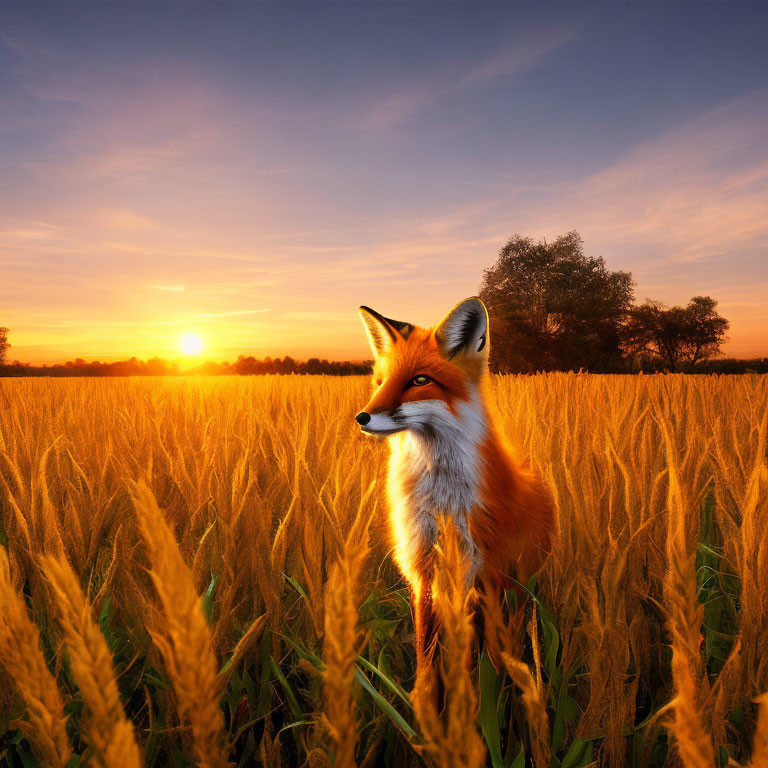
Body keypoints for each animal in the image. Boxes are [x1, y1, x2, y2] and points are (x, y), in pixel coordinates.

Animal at [356, 298, 556, 660]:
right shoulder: (422, 570)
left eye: (420, 380)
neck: (440, 500)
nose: (361, 417)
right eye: (380, 382)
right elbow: (426, 655)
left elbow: (495, 658)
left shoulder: (487, 572)